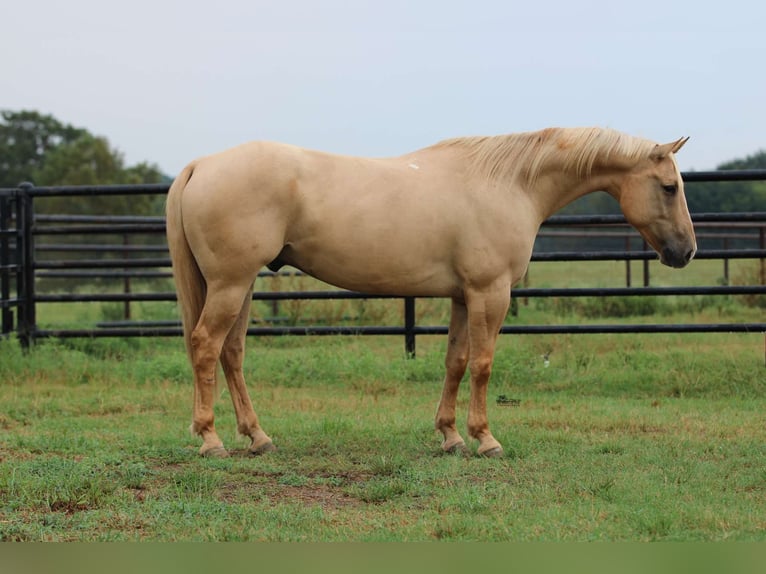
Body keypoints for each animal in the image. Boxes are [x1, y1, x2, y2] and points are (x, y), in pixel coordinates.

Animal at [165, 127, 696, 459]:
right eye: (669, 187)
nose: (686, 251)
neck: (510, 184)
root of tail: (200, 165)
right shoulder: (490, 293)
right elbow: (482, 365)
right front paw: (485, 439)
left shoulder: (463, 296)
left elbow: (456, 363)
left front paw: (451, 436)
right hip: (231, 284)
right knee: (206, 346)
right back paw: (211, 439)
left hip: (241, 286)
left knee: (231, 353)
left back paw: (258, 437)